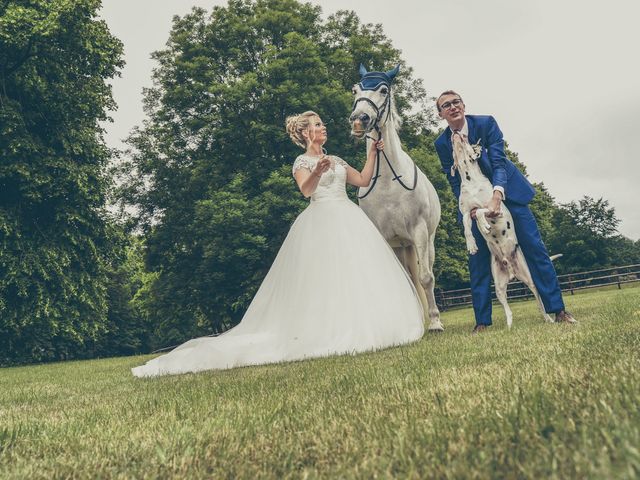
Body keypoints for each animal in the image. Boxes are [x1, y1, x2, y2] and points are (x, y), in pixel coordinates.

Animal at [348, 63, 442, 332]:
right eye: (355, 89)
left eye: (383, 90)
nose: (359, 120)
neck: (387, 180)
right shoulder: (385, 237)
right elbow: (404, 281)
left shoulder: (419, 231)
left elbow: (425, 278)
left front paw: (435, 323)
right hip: (400, 245)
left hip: (426, 242)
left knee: (426, 273)